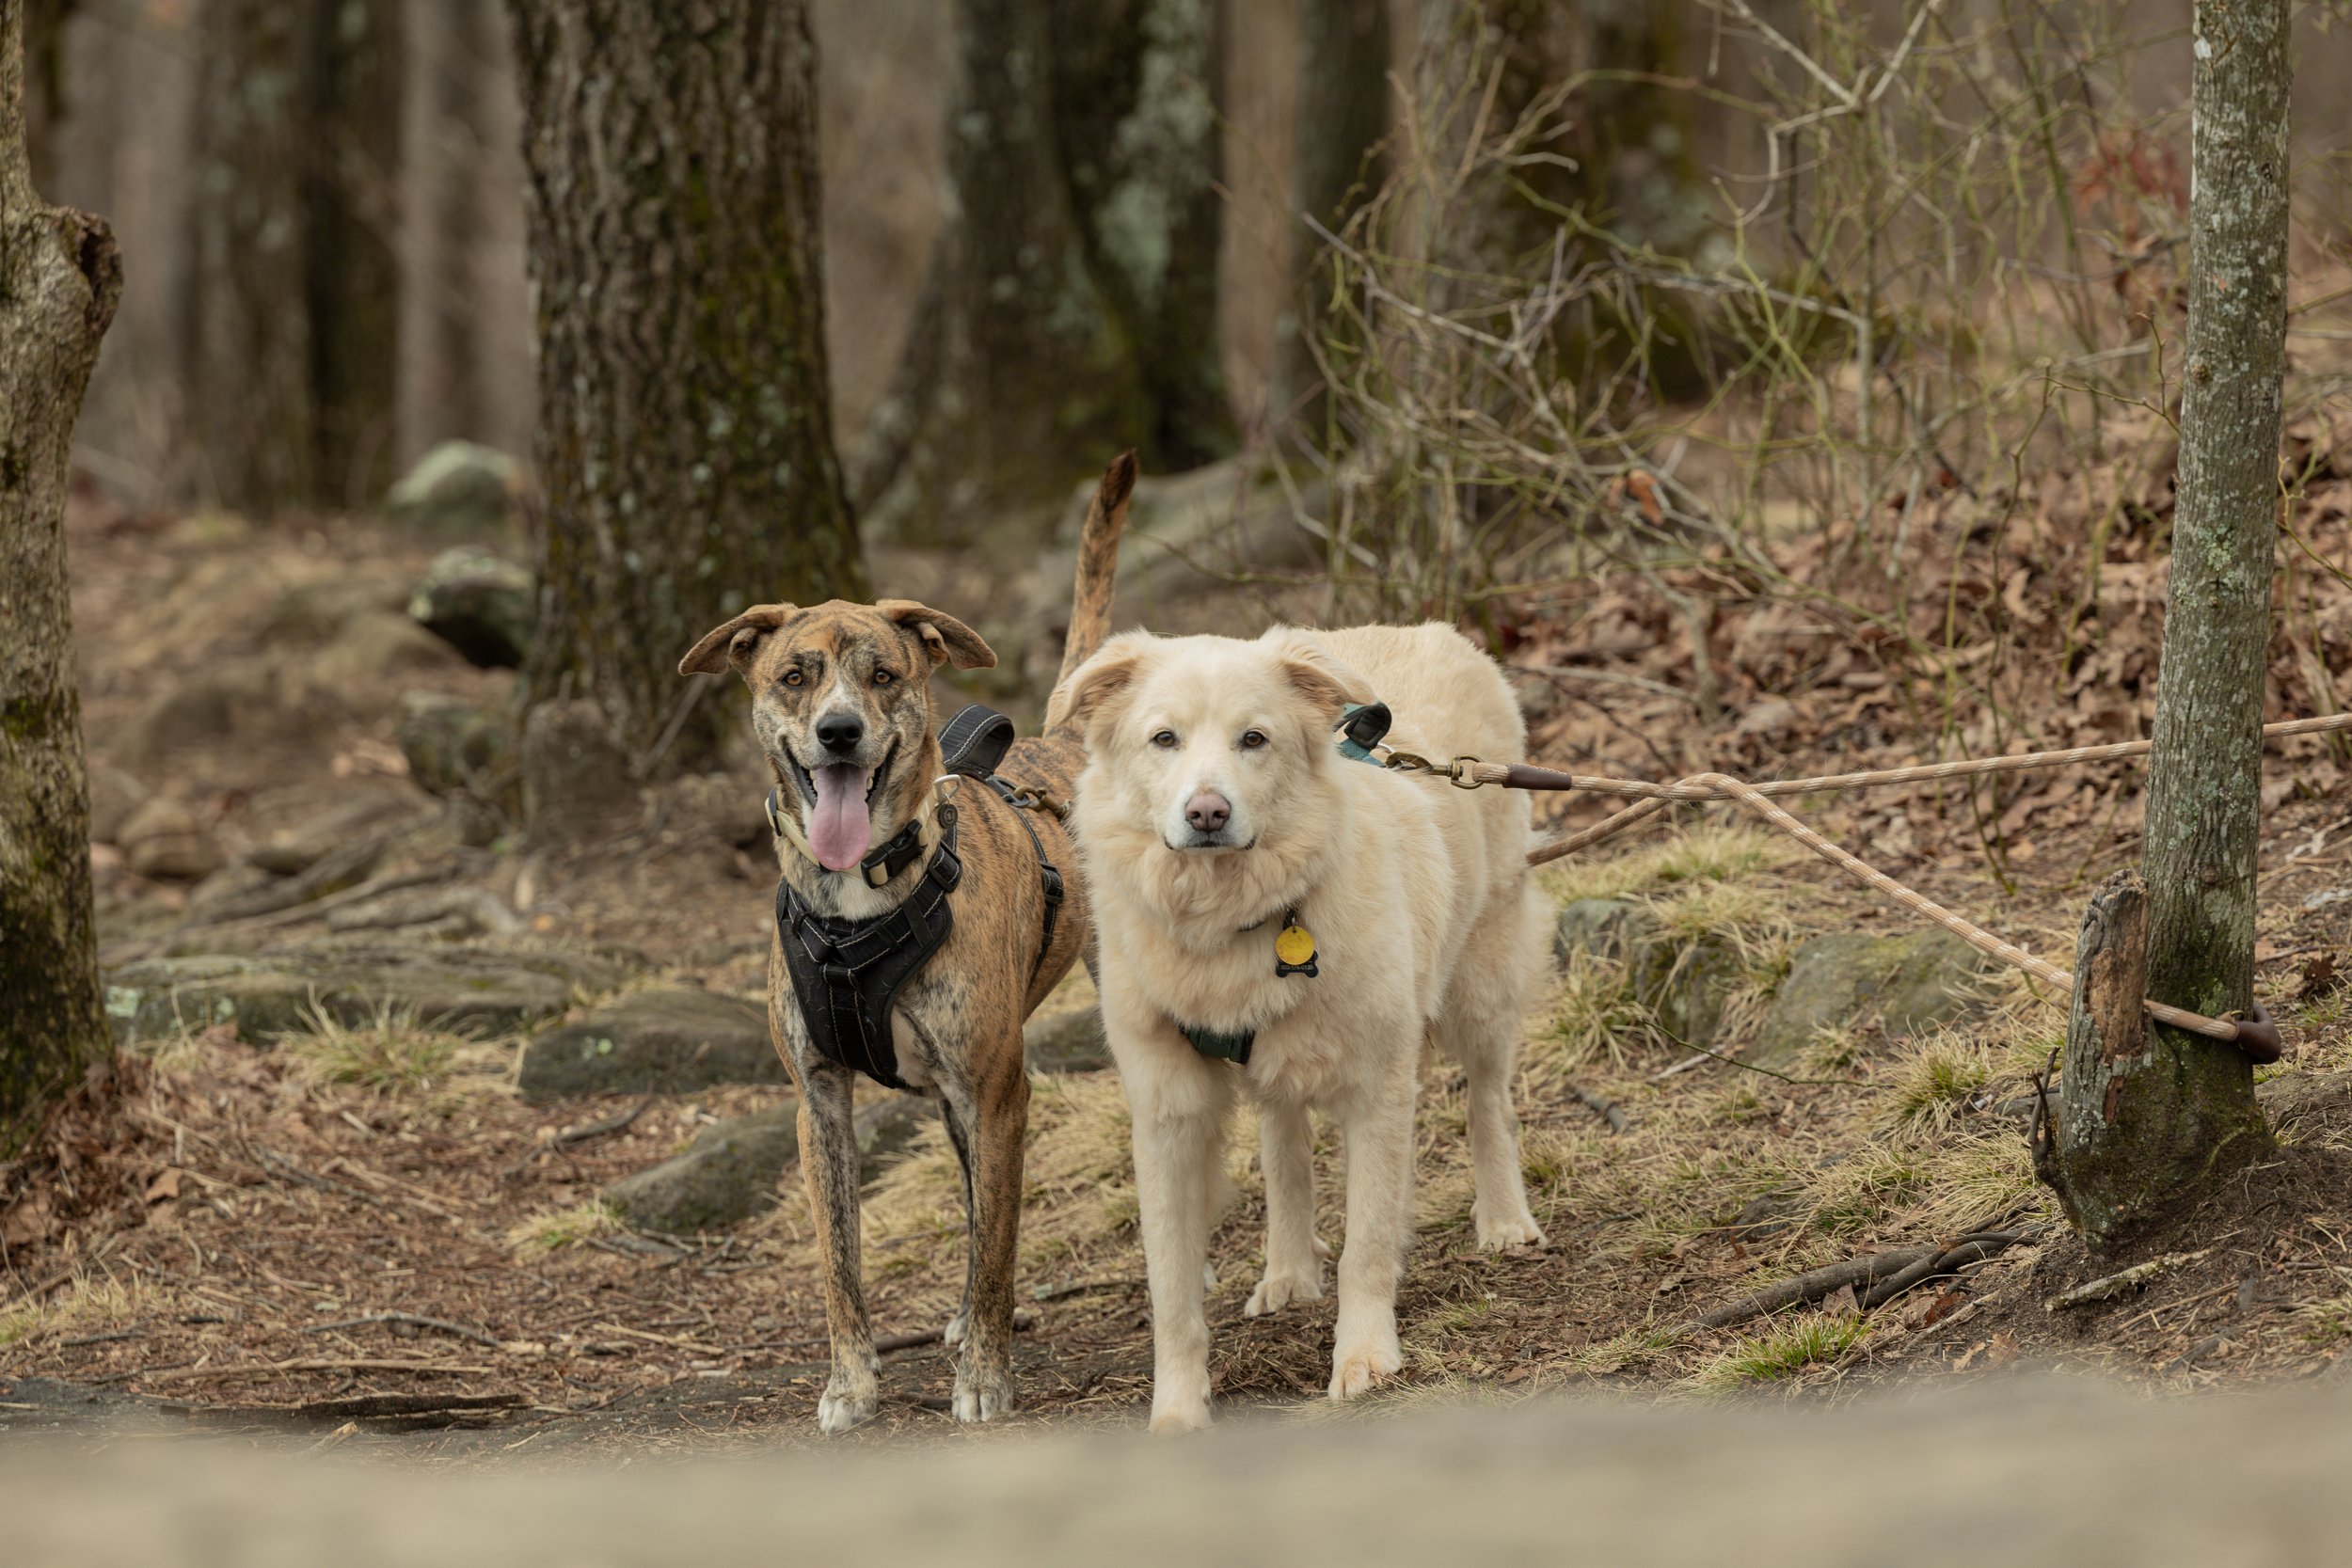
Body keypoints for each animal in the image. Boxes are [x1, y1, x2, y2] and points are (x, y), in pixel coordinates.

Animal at [677, 453, 1134, 1438]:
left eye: (885, 674)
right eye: (795, 675)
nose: (839, 731)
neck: (858, 899)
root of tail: (1065, 745)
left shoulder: (998, 1091)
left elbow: (997, 1247)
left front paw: (987, 1375)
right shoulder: (820, 1102)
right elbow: (840, 1262)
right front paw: (851, 1382)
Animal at [1058, 620, 1552, 1429]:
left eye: (1253, 738)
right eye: (1164, 738)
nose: (1206, 813)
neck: (1231, 927)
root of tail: (1435, 630)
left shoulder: (1378, 1086)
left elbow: (1367, 1243)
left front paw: (1364, 1358)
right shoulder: (1167, 1115)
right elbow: (1171, 1287)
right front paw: (1178, 1410)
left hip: (1481, 984)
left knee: (1489, 1103)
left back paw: (1506, 1221)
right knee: (1284, 1148)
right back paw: (1289, 1269)